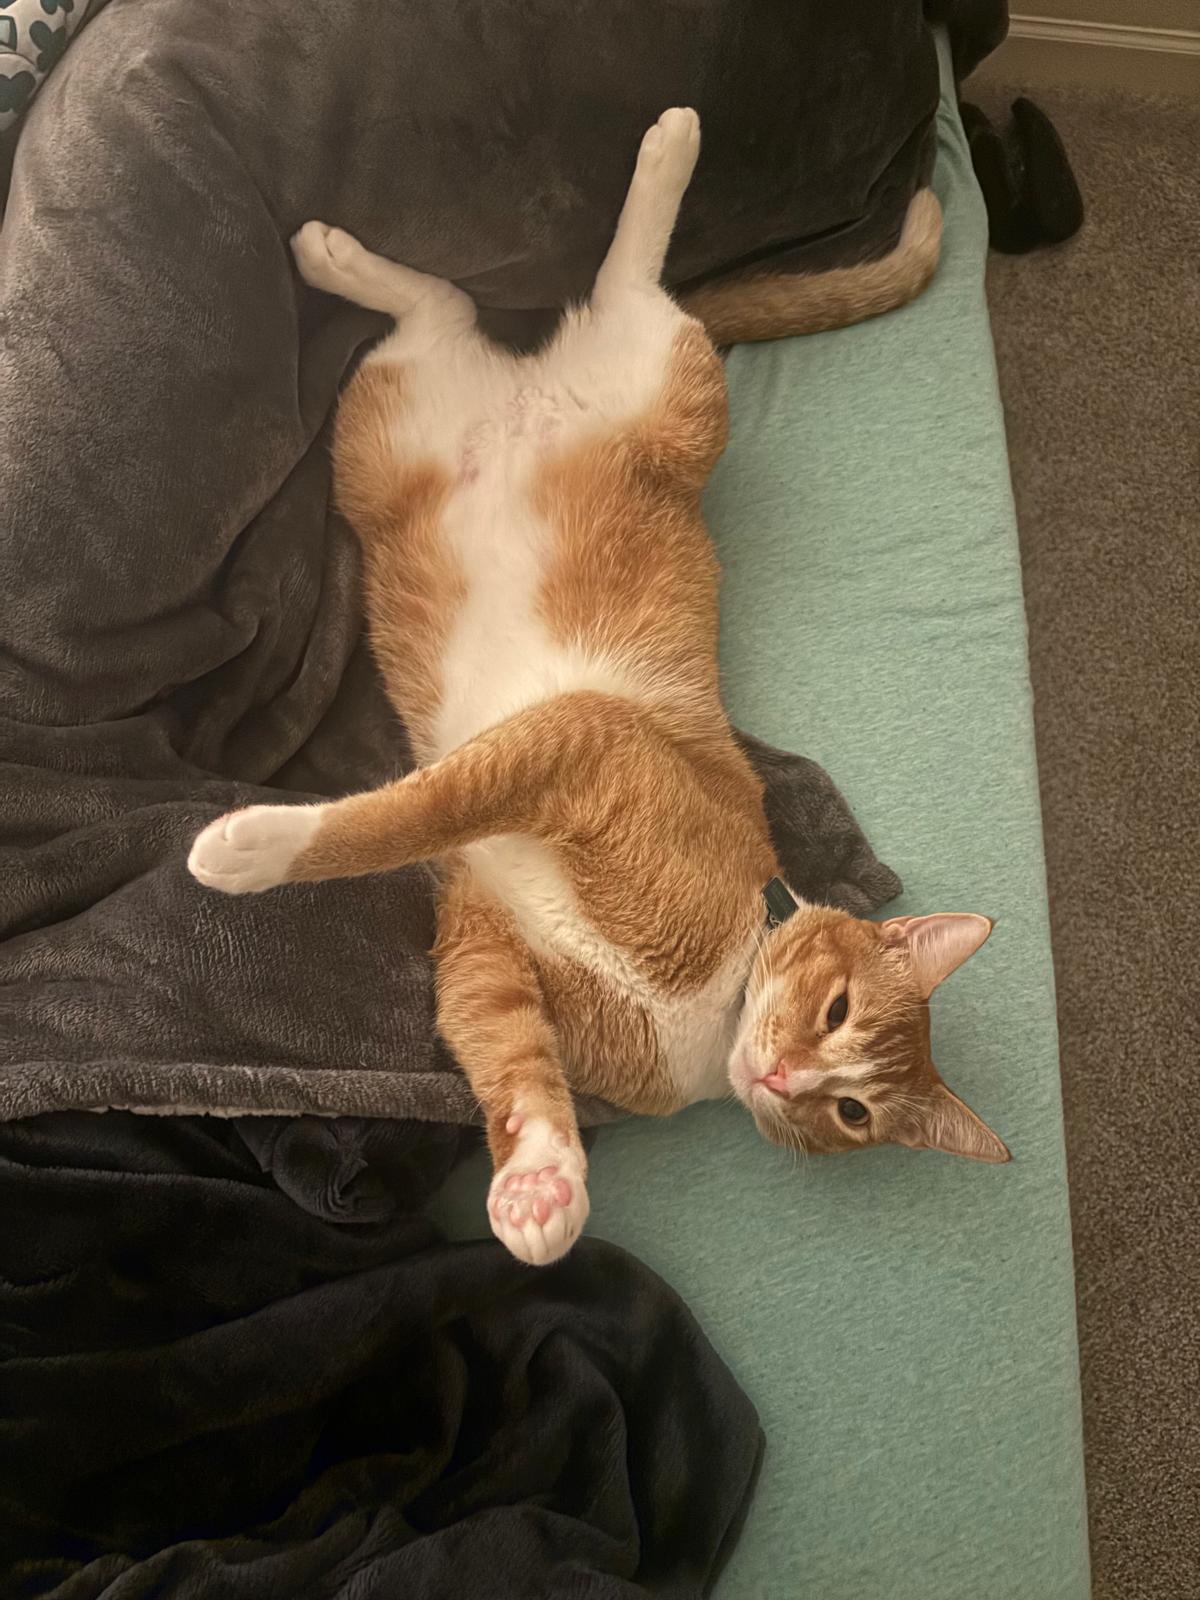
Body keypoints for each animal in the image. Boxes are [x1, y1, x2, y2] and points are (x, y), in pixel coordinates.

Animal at [188, 108, 1006, 1268]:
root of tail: (531, 393)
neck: (713, 1006)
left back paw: (344, 257)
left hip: (388, 431)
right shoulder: (574, 748)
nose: (788, 1076)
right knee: (614, 279)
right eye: (839, 1009)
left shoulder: (483, 944)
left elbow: (510, 1063)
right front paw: (253, 846)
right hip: (668, 387)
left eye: (852, 1112)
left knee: (449, 307)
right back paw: (667, 147)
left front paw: (541, 1186)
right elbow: (398, 815)